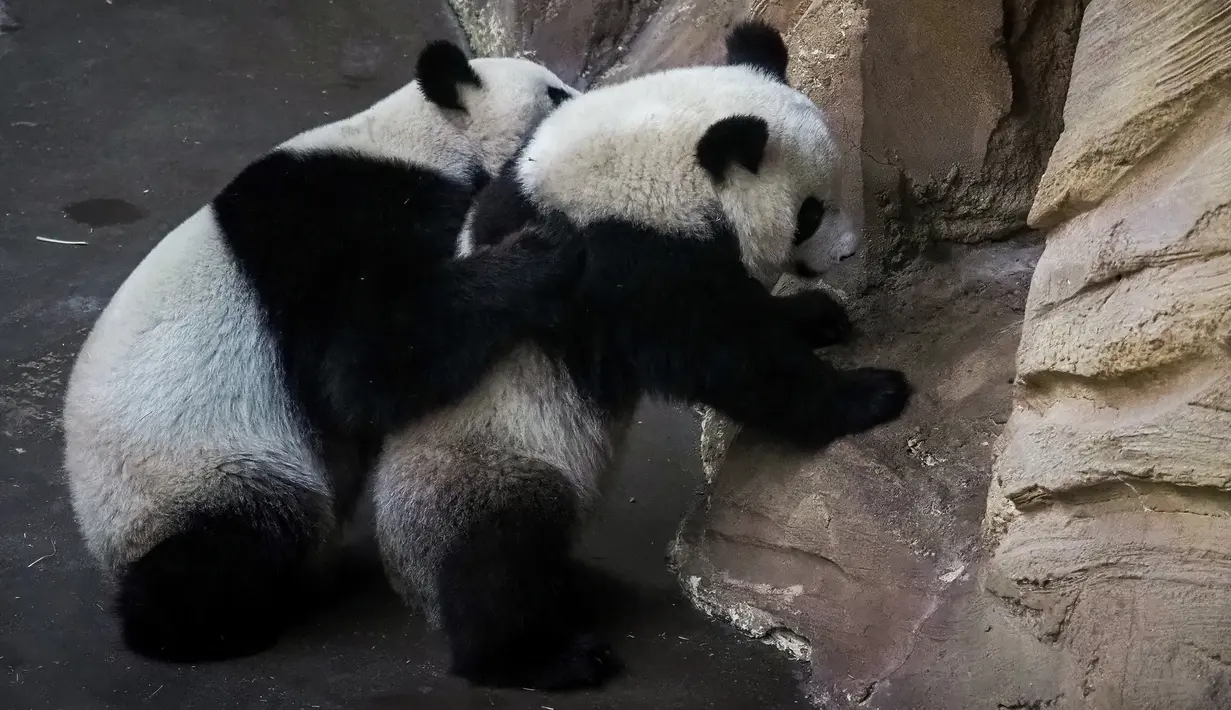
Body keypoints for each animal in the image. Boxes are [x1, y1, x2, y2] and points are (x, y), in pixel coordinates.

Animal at [62, 40, 581, 663]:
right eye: (554, 94)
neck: (422, 139)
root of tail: (104, 547)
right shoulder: (343, 227)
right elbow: (361, 368)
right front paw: (540, 252)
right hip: (198, 471)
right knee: (235, 542)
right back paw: (203, 627)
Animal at [371, 22, 913, 691]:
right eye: (810, 211)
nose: (847, 252)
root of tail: (409, 585)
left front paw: (817, 315)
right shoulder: (619, 262)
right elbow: (724, 353)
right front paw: (869, 393)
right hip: (486, 464)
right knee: (495, 560)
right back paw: (548, 658)